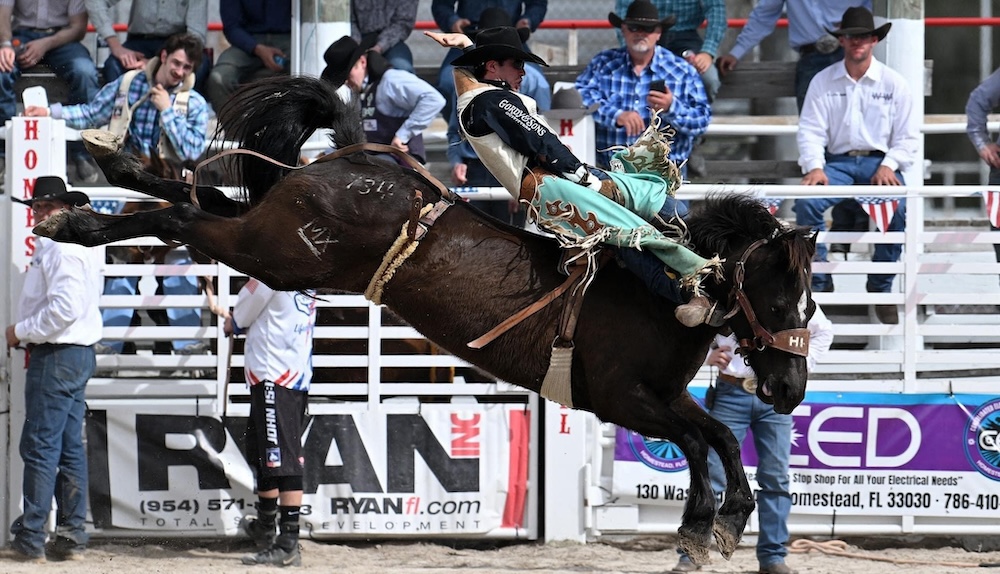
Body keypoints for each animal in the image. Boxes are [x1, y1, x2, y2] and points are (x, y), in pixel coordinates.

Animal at [39, 74, 816, 564]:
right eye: (785, 303)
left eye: (812, 307)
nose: (789, 392)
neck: (666, 290)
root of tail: (351, 159)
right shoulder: (622, 397)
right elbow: (699, 442)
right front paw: (704, 525)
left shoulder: (659, 398)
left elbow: (715, 437)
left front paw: (720, 524)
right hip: (276, 252)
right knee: (185, 215)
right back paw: (78, 218)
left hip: (269, 234)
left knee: (198, 198)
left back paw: (107, 177)